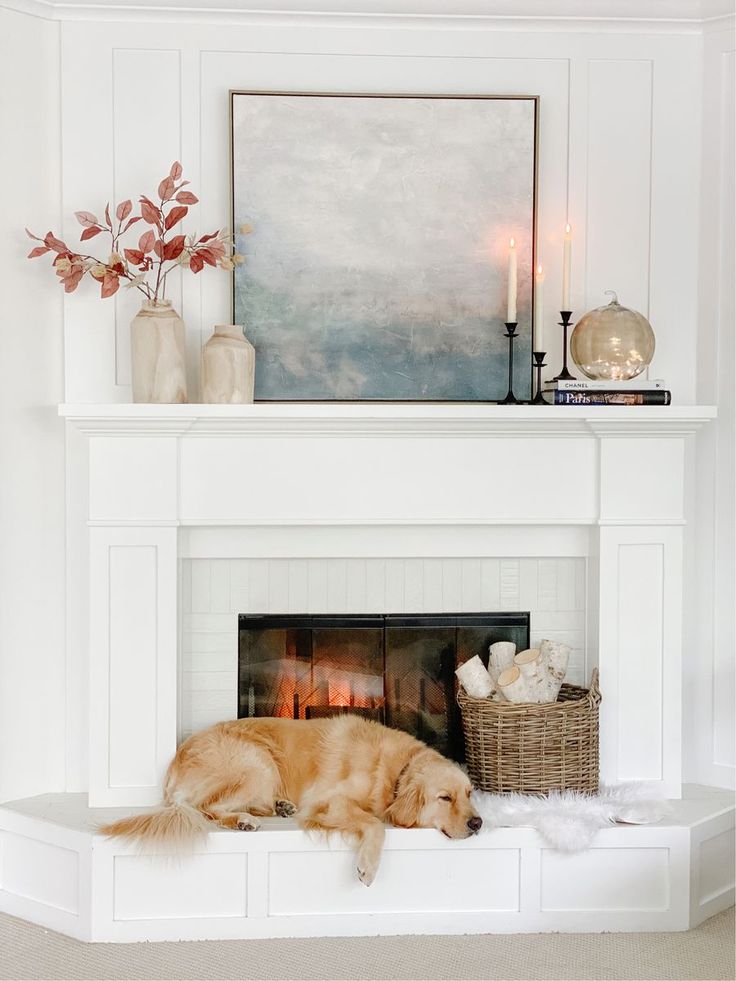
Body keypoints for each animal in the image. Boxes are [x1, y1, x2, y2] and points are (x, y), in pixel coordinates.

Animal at [102, 712, 484, 888]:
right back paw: (245, 820)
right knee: (206, 808)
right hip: (258, 762)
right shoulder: (331, 803)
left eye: (469, 793)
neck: (396, 771)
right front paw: (367, 866)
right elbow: (375, 824)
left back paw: (277, 807)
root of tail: (174, 765)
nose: (478, 823)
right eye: (444, 797)